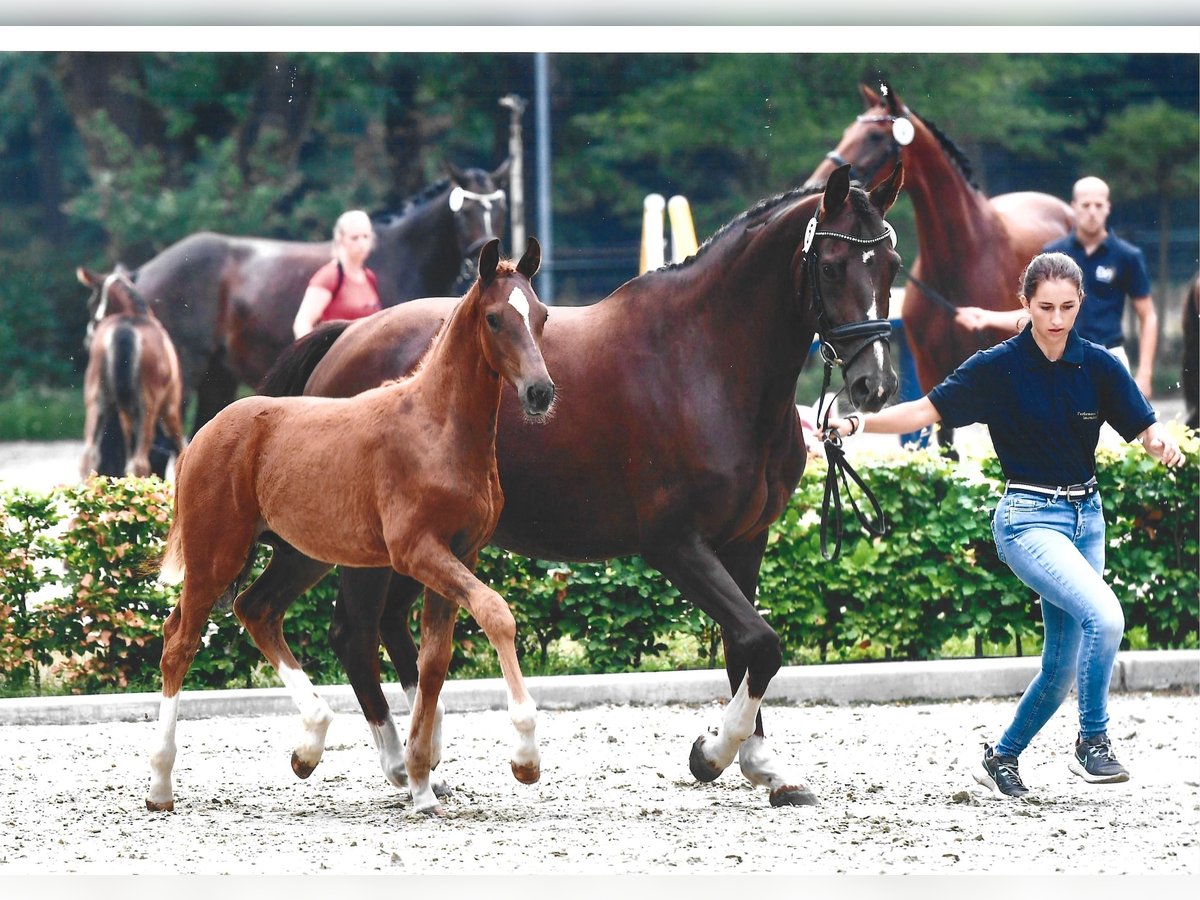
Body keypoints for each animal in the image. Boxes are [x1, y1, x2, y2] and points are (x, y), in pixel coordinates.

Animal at [77, 266, 186, 480]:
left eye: (90, 302)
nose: (86, 339)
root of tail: (126, 329)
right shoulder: (169, 407)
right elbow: (181, 447)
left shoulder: (125, 413)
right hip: (149, 407)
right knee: (140, 462)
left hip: (97, 402)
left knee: (89, 456)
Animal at [146, 237, 552, 816]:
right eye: (495, 318)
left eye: (541, 316)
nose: (541, 392)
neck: (439, 428)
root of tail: (209, 429)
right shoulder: (417, 552)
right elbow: (496, 614)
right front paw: (523, 755)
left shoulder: (460, 552)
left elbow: (434, 659)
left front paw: (422, 780)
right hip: (215, 555)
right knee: (180, 641)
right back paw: (161, 781)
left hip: (301, 556)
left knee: (255, 609)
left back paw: (311, 743)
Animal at [258, 164, 902, 811]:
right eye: (831, 266)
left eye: (892, 264)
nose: (874, 384)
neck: (704, 364)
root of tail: (346, 337)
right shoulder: (676, 545)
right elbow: (760, 641)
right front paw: (714, 754)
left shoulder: (746, 541)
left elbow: (745, 646)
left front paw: (765, 764)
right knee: (353, 633)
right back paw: (397, 762)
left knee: (392, 627)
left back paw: (427, 755)